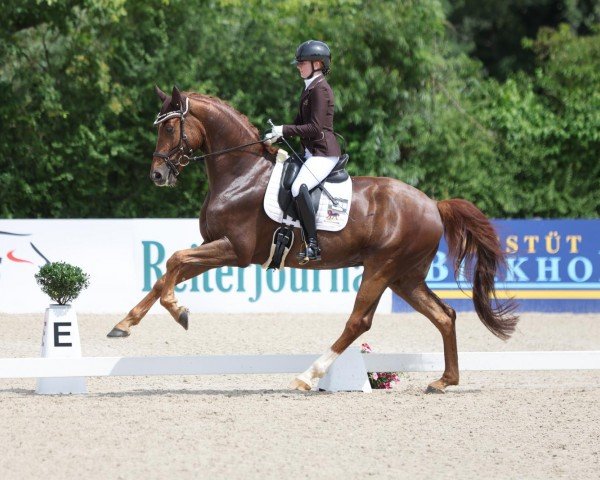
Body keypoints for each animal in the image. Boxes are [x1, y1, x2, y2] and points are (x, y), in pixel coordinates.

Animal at [106, 87, 516, 394]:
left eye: (170, 129)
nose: (158, 175)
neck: (241, 173)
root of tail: (433, 203)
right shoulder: (215, 248)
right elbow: (166, 273)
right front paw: (127, 323)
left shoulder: (233, 250)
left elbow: (174, 260)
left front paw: (177, 312)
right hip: (405, 276)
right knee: (444, 316)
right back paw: (444, 381)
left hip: (381, 268)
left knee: (359, 322)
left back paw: (308, 376)